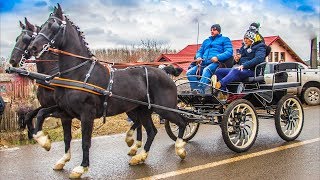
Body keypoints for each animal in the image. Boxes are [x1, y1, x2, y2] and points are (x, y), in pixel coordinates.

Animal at [29, 3, 189, 179]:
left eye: (53, 25)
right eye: (42, 26)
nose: (33, 47)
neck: (78, 73)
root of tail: (164, 70)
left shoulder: (87, 114)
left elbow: (85, 142)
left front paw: (81, 168)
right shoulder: (65, 111)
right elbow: (44, 116)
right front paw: (46, 143)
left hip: (164, 108)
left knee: (183, 122)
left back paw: (180, 148)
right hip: (143, 110)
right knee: (152, 131)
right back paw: (140, 156)